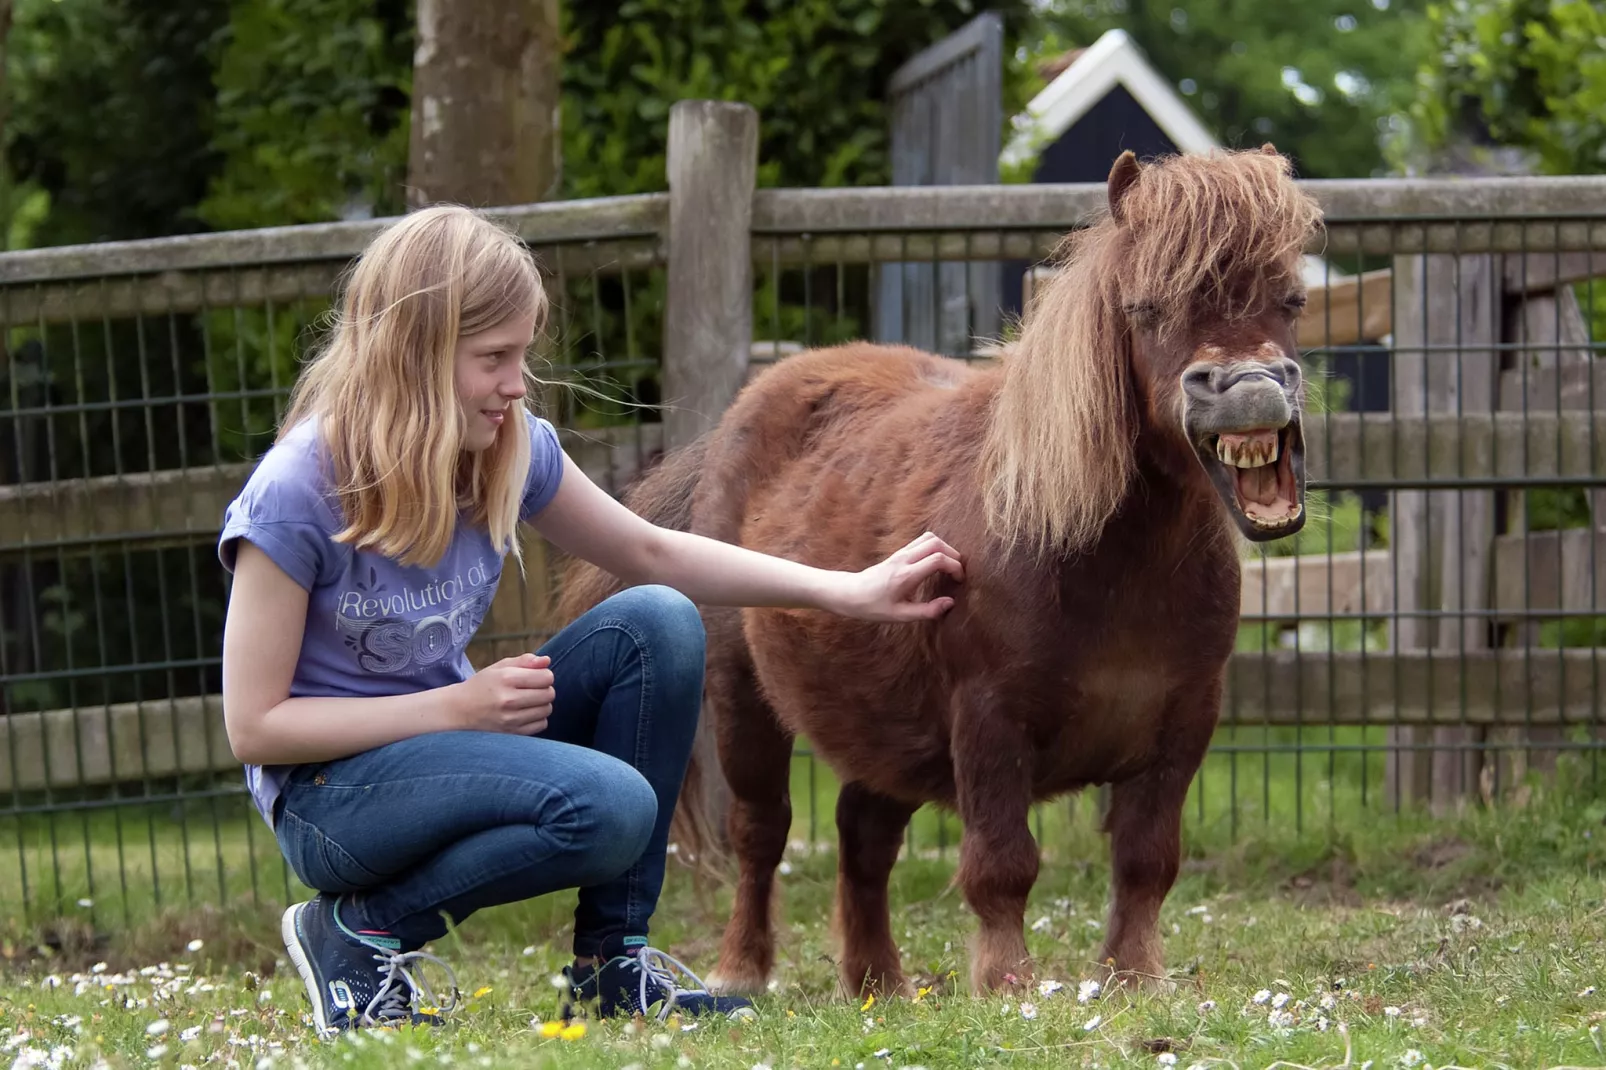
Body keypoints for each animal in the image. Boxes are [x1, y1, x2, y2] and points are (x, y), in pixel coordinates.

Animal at [558, 146, 1323, 996]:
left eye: (1291, 299)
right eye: (1147, 308)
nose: (1247, 388)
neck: (1108, 563)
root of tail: (736, 418)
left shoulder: (1183, 725)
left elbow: (1147, 861)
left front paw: (1134, 979)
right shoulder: (989, 721)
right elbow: (1002, 865)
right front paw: (1009, 985)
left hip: (883, 727)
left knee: (862, 836)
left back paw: (878, 985)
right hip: (743, 700)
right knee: (760, 834)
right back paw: (743, 973)